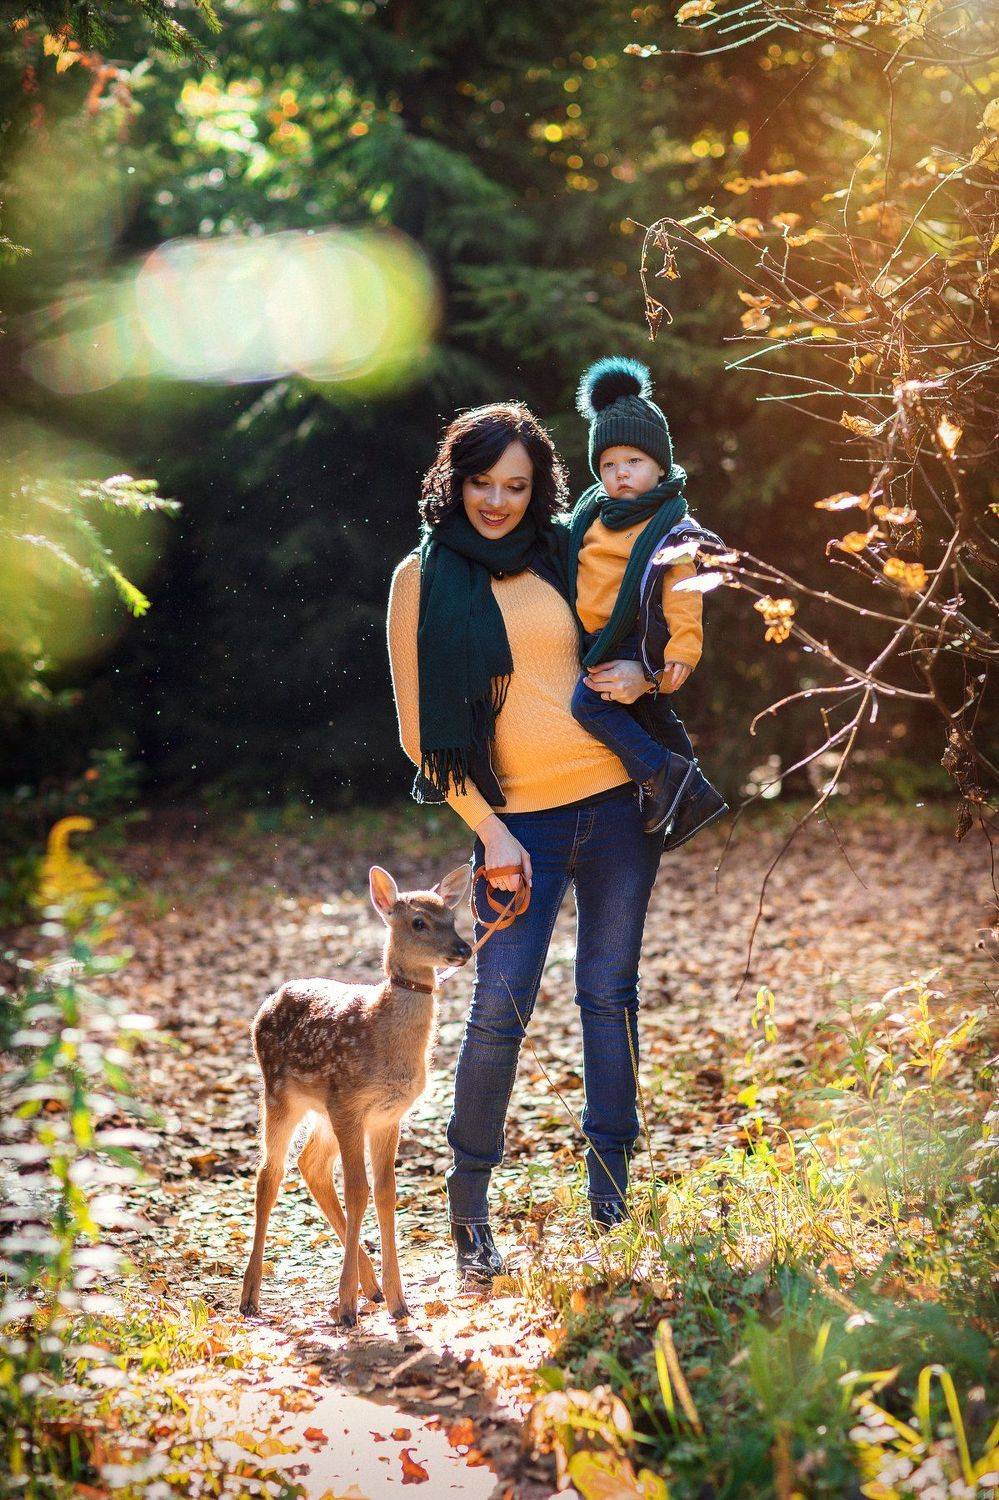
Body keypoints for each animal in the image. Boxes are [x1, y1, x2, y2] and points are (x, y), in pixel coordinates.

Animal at [239, 862, 472, 1326]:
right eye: (419, 922)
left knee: (310, 1165)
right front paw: (345, 1307)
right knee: (269, 1174)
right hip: (279, 1095)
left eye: (453, 917)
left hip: (322, 1111)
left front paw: (399, 1302)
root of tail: (268, 1002)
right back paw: (250, 1297)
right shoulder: (349, 1102)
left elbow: (384, 1192)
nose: (464, 948)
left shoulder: (387, 1114)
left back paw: (374, 1288)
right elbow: (358, 1190)